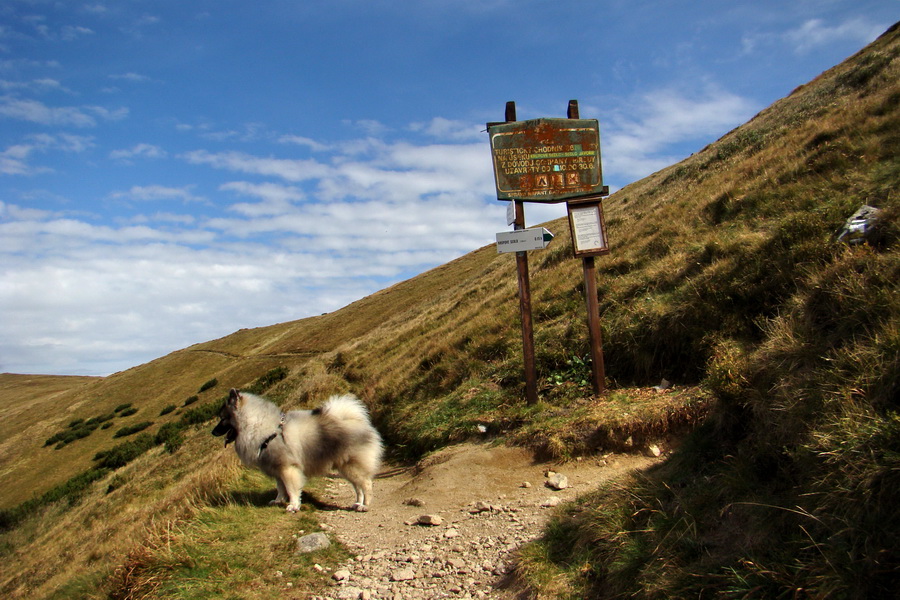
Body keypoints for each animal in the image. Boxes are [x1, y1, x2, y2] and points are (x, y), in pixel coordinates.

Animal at [214, 390, 384, 510]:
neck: (260, 427)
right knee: (358, 487)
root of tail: (358, 421)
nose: (212, 432)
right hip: (346, 468)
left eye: (223, 419)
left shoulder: (287, 468)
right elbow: (280, 488)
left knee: (366, 484)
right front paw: (278, 501)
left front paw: (293, 505)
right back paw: (357, 503)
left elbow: (291, 489)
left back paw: (365, 505)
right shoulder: (277, 469)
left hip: (352, 466)